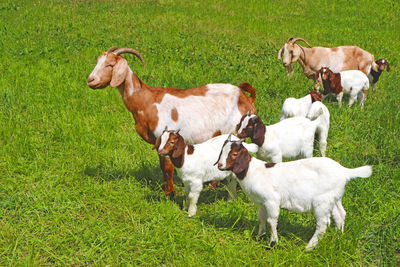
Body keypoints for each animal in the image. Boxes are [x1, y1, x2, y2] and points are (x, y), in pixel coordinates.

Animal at [87, 46, 256, 198]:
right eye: (97, 62)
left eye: (110, 65)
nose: (90, 80)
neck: (145, 100)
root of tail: (246, 98)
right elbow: (163, 167)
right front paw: (164, 189)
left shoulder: (166, 136)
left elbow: (168, 167)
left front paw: (170, 193)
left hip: (235, 131)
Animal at [216, 137, 372, 250]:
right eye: (221, 151)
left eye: (234, 154)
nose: (220, 165)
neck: (252, 170)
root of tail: (344, 172)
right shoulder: (261, 203)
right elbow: (261, 217)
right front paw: (259, 236)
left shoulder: (272, 200)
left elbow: (271, 220)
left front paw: (273, 243)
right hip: (334, 198)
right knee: (340, 215)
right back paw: (338, 237)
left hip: (322, 202)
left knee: (323, 224)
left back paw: (308, 247)